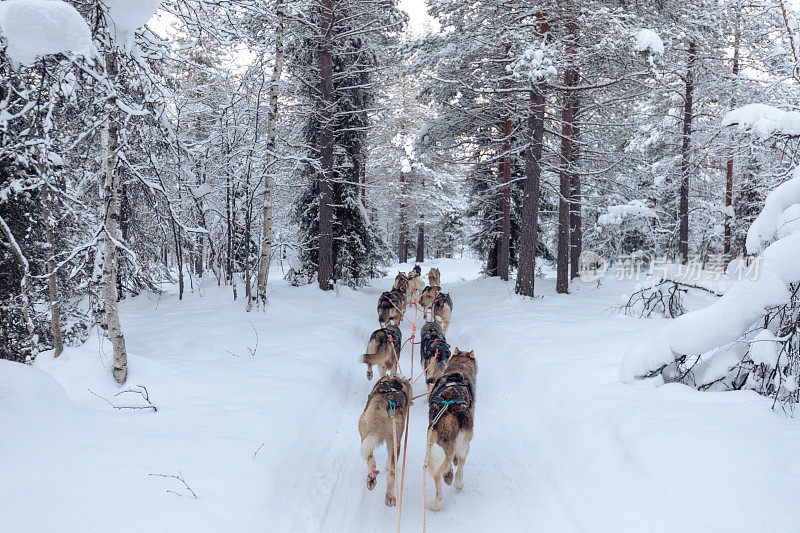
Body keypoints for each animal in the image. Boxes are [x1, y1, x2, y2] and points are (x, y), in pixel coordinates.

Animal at [360, 376, 412, 504]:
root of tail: (383, 400)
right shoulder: (392, 442)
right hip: (396, 443)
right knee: (391, 473)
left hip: (364, 437)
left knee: (371, 459)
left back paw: (372, 478)